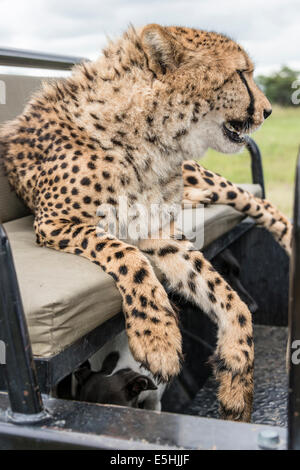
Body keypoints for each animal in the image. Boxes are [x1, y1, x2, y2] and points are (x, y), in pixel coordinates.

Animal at [0, 23, 290, 422]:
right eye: (240, 73)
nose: (268, 111)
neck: (149, 134)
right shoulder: (57, 222)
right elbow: (128, 255)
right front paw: (158, 337)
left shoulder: (155, 228)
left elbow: (222, 290)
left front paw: (237, 369)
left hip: (206, 181)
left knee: (254, 199)